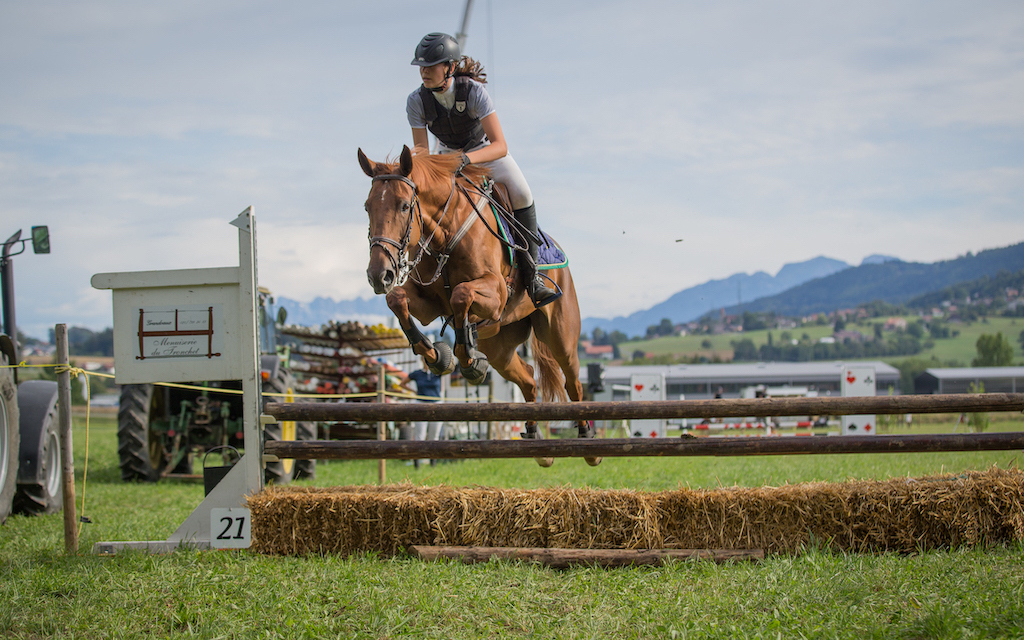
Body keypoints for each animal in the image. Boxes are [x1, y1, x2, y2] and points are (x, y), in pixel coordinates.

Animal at [360, 144, 598, 464]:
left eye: (404, 206)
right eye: (367, 207)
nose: (379, 275)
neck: (445, 233)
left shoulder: (495, 294)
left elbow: (461, 294)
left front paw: (467, 356)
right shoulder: (429, 304)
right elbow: (396, 299)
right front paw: (438, 356)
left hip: (560, 336)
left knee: (573, 382)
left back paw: (587, 441)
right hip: (500, 346)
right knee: (528, 379)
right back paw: (535, 441)